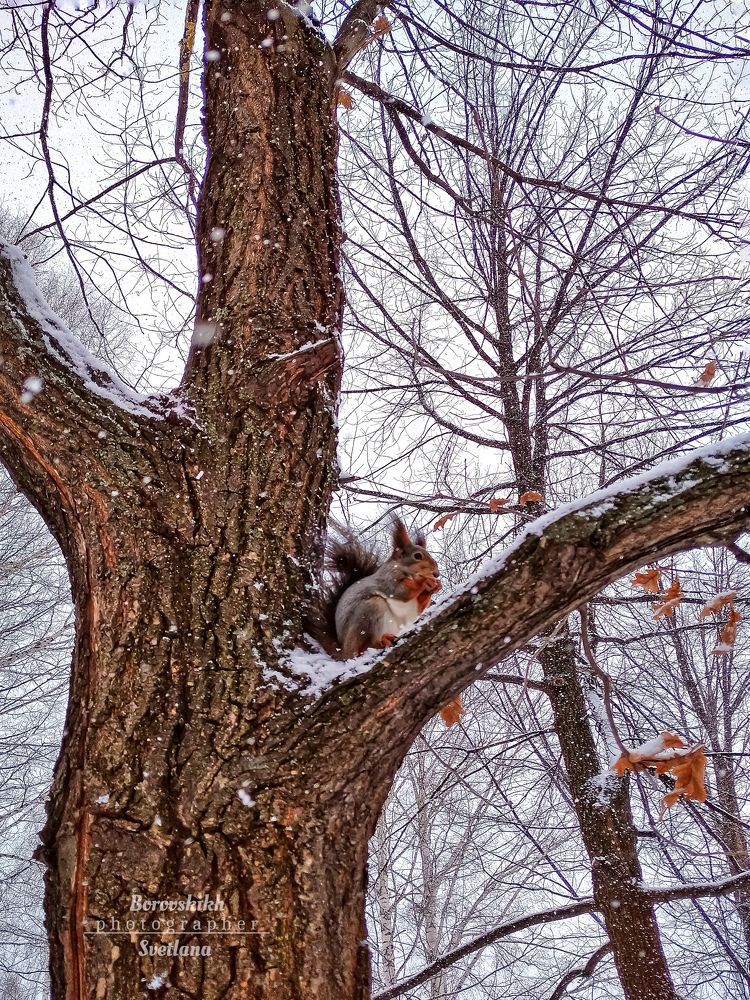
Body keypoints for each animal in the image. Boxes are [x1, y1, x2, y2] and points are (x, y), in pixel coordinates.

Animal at [306, 518, 464, 727]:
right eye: (417, 556)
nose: (436, 574)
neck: (405, 570)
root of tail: (344, 651)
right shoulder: (389, 582)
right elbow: (401, 591)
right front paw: (424, 582)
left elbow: (417, 607)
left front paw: (434, 587)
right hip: (371, 610)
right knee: (364, 647)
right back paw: (381, 641)